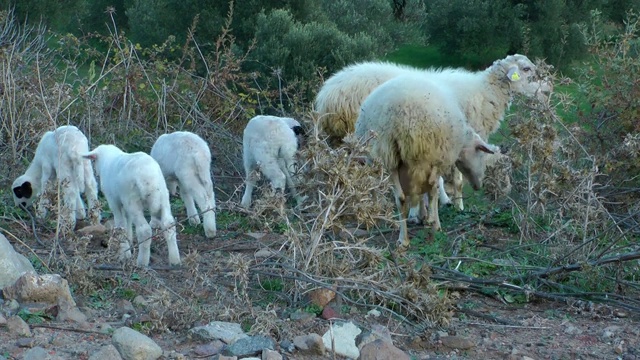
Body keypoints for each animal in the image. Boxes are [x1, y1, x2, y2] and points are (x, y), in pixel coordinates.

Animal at [356, 73, 500, 248]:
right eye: (482, 156)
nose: (478, 186)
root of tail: (400, 116)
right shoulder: (438, 159)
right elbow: (433, 189)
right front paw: (432, 220)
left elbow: (419, 192)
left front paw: (421, 216)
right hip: (426, 154)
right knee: (430, 188)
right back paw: (431, 223)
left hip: (387, 156)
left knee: (400, 198)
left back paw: (402, 239)